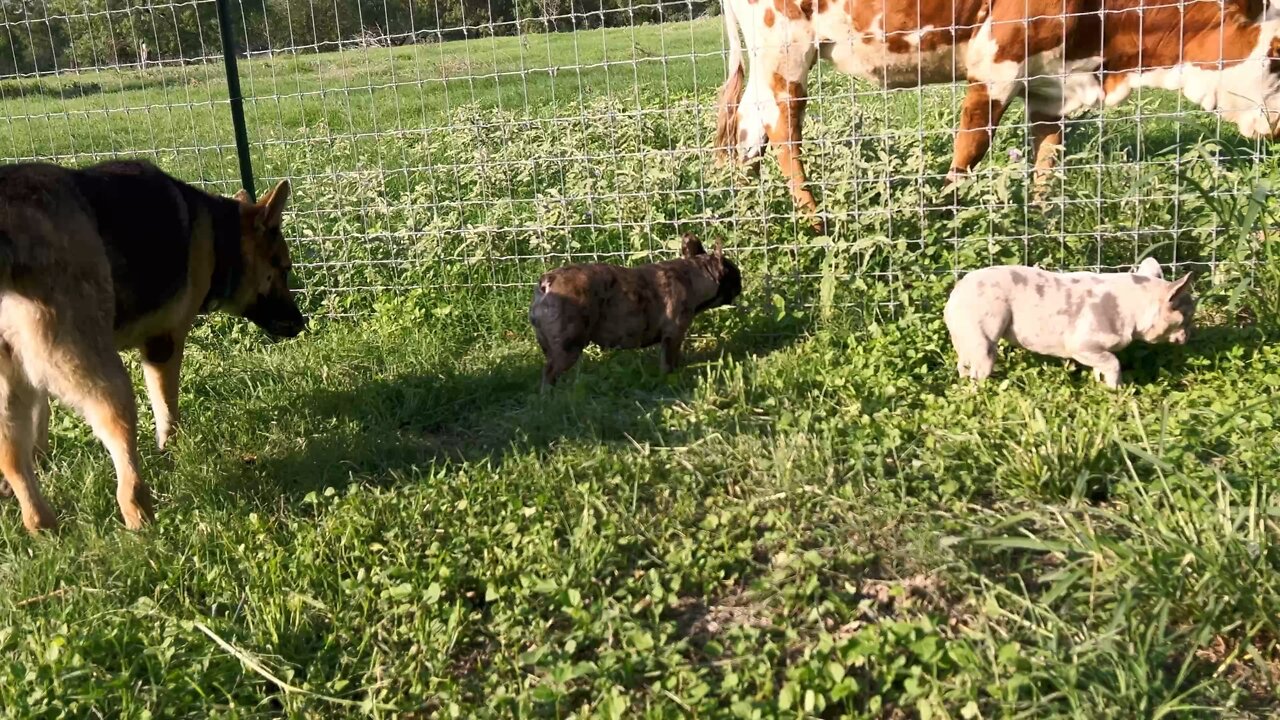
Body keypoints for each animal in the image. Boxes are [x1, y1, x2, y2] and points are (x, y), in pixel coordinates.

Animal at [0, 162, 304, 532]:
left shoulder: (31, 377)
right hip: (105, 378)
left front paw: (38, 460)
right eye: (285, 269)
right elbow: (167, 408)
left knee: (12, 458)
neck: (219, 237)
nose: (301, 323)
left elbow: (38, 420)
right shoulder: (164, 345)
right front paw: (173, 448)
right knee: (122, 456)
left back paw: (41, 524)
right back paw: (139, 514)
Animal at [716, 0, 1280, 213]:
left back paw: (744, 206)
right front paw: (942, 217)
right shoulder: (995, 66)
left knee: (747, 127)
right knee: (784, 131)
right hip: (787, 47)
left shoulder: (1051, 86)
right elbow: (970, 151)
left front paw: (1044, 220)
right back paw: (815, 219)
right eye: (1276, 55)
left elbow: (1048, 160)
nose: (1277, 129)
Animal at [947, 257, 1192, 386]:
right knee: (979, 371)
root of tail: (957, 292)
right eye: (1187, 319)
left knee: (963, 365)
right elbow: (1113, 363)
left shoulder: (1095, 352)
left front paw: (1101, 387)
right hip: (985, 341)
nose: (1191, 334)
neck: (1136, 306)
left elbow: (1101, 367)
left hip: (966, 339)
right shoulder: (1083, 346)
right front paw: (1118, 390)